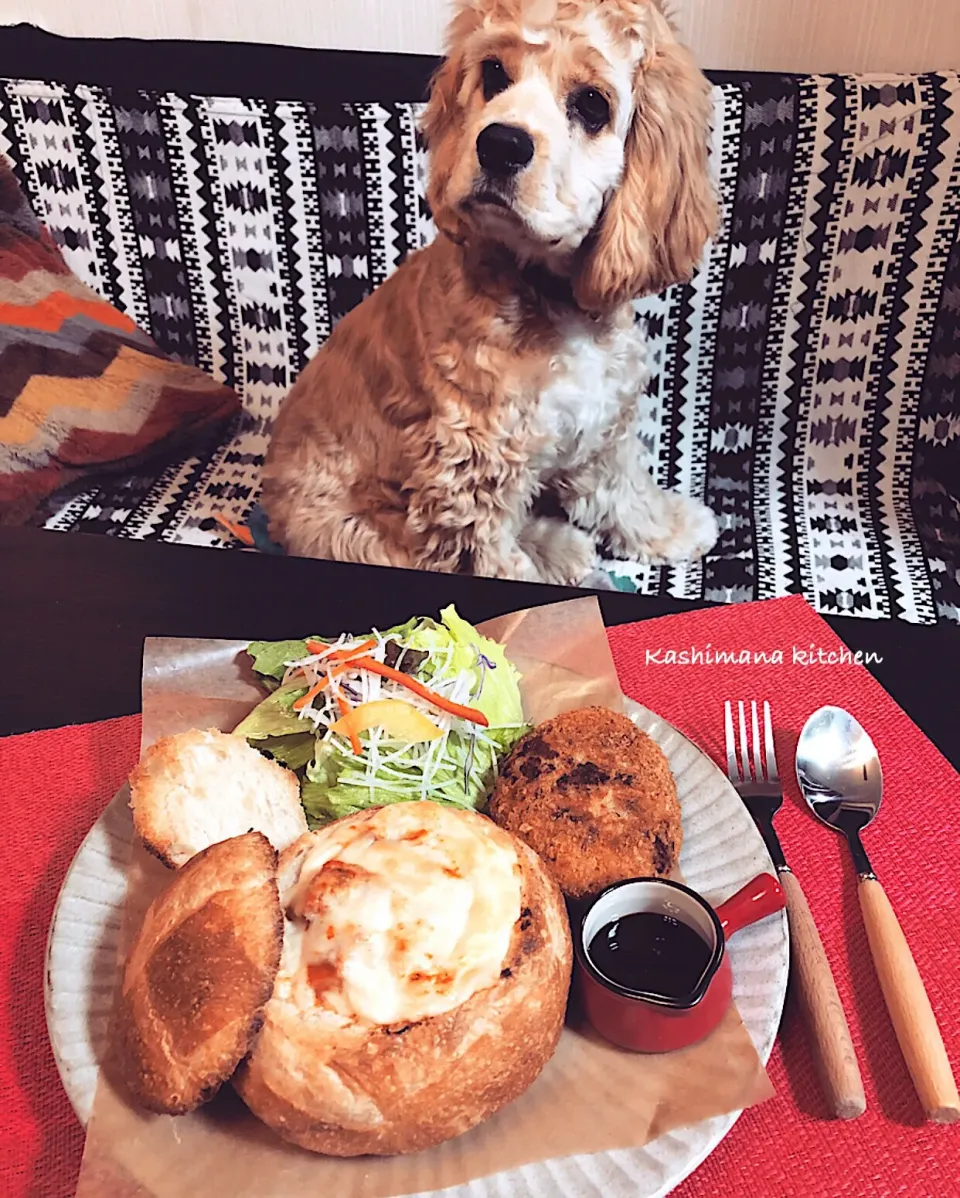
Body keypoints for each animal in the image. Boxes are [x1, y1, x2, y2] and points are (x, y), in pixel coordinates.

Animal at [262, 0, 719, 584]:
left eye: (592, 105)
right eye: (495, 73)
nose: (500, 143)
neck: (549, 296)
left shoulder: (602, 426)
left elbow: (622, 488)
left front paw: (670, 527)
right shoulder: (469, 466)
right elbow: (495, 559)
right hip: (357, 531)